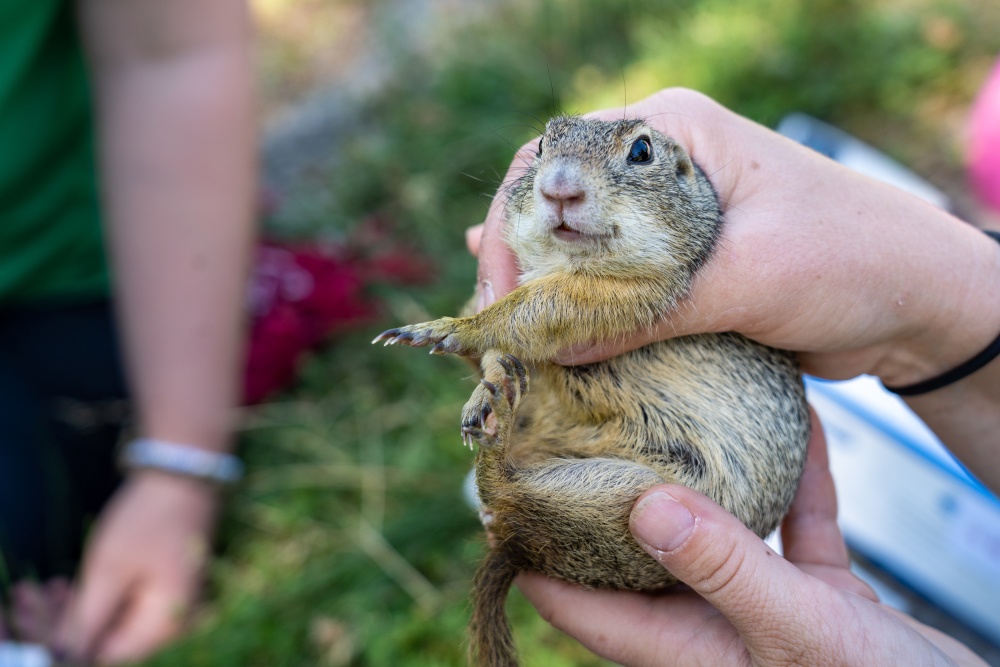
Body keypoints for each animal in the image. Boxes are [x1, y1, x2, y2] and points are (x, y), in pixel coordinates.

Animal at [374, 116, 811, 667]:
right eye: (542, 143)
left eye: (642, 151)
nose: (559, 187)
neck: (568, 261)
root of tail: (523, 549)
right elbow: (511, 335)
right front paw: (489, 373)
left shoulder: (635, 294)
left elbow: (537, 309)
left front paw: (455, 329)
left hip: (619, 501)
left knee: (505, 491)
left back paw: (498, 438)